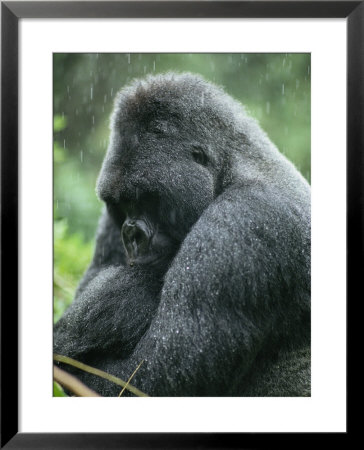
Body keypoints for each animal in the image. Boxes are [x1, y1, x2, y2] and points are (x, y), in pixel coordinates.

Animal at [53, 72, 310, 396]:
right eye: (123, 204)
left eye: (147, 198)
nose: (132, 235)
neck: (231, 167)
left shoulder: (244, 222)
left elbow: (154, 377)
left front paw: (123, 299)